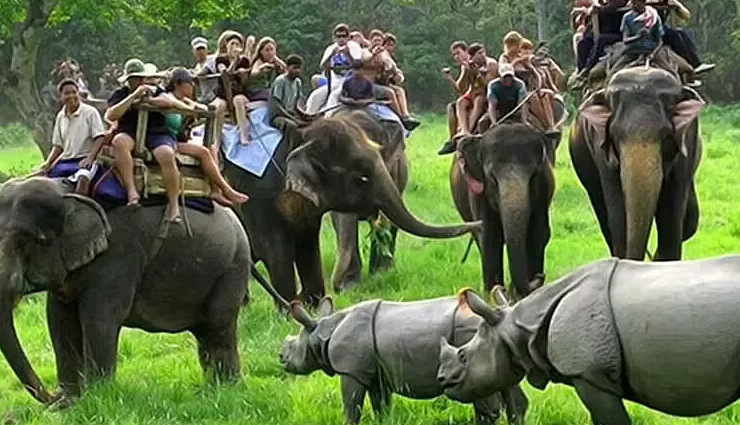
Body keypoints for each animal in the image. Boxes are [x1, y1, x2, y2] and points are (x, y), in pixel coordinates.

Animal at [0, 177, 251, 404]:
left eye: (26, 242)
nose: (52, 396)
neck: (70, 193)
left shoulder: (118, 255)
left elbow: (98, 319)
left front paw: (97, 399)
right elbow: (60, 320)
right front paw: (68, 404)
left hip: (232, 267)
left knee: (218, 328)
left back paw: (225, 390)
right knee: (206, 333)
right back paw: (214, 390)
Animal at [225, 109, 478, 308]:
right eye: (360, 177)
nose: (479, 224)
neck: (299, 135)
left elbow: (308, 246)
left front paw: (315, 305)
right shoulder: (257, 195)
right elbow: (273, 248)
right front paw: (291, 312)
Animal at [450, 123, 556, 300]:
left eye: (534, 175)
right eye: (492, 178)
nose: (539, 277)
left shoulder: (543, 191)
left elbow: (538, 233)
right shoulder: (479, 194)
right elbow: (490, 237)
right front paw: (492, 294)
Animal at [571, 65, 705, 260]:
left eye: (666, 135)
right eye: (614, 134)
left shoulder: (688, 138)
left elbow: (672, 215)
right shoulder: (600, 148)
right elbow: (618, 214)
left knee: (690, 219)